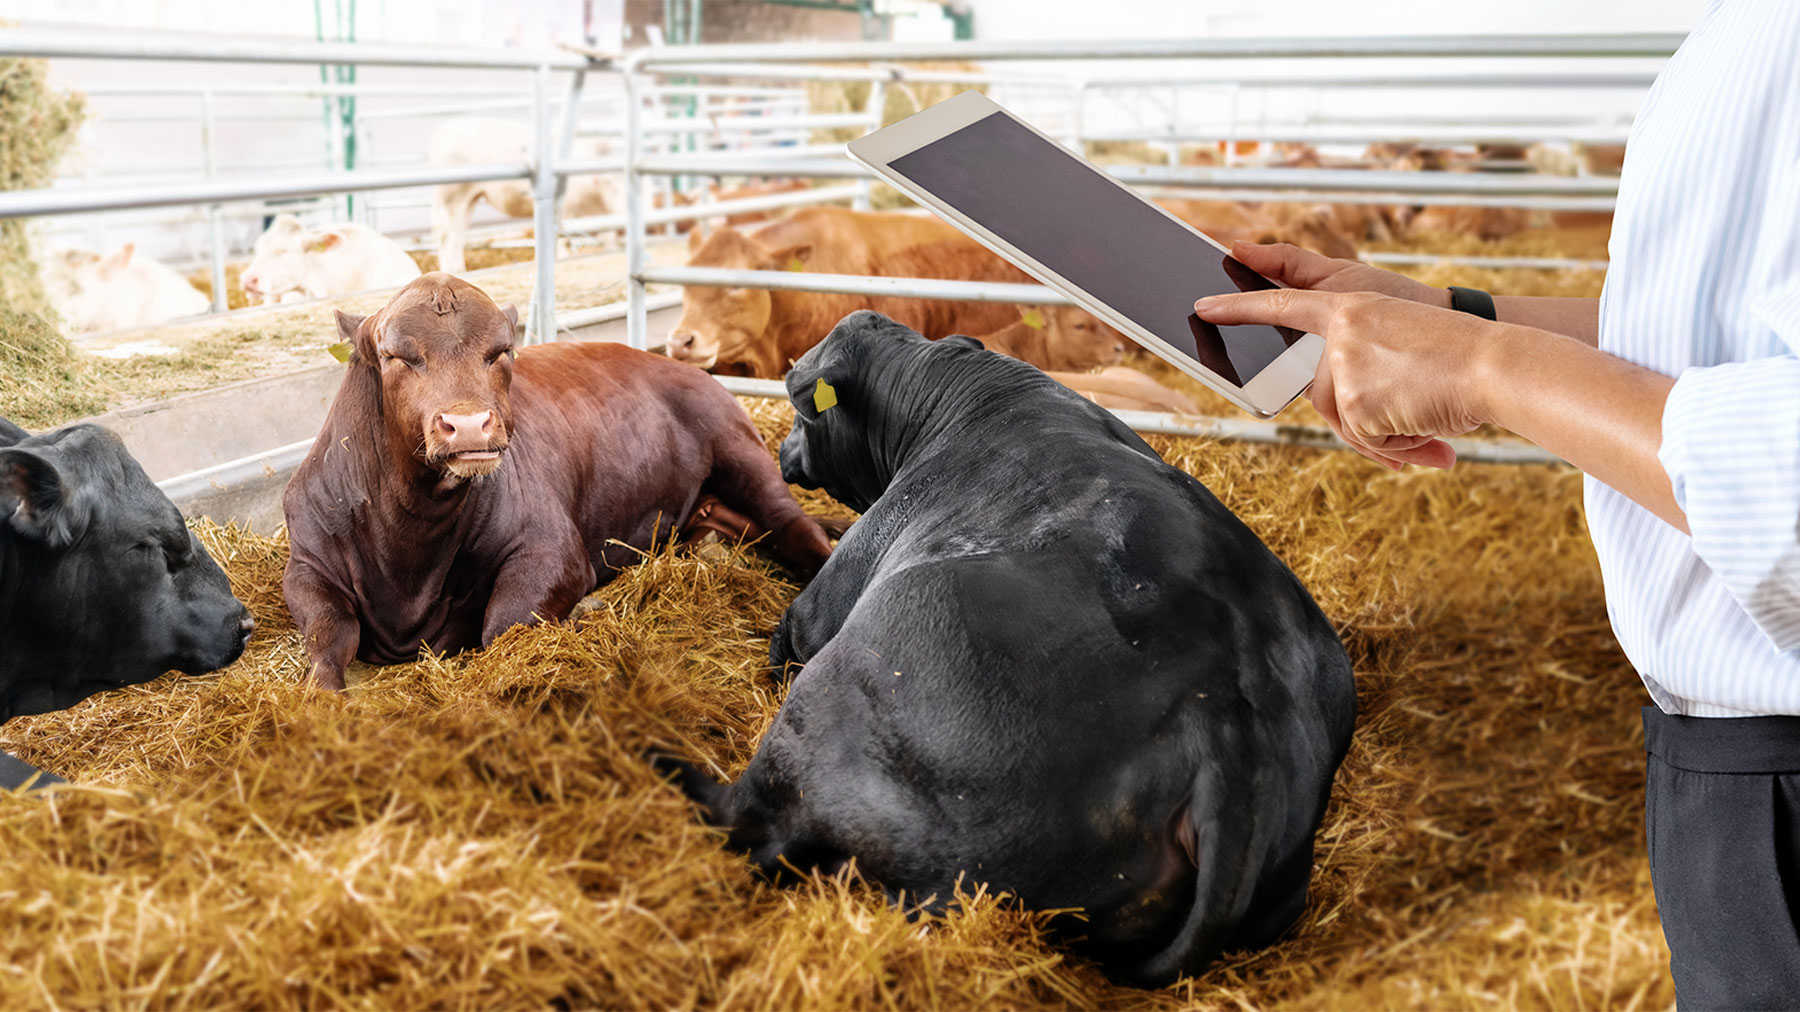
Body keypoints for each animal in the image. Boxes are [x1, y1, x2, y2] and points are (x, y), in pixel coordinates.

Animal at [282, 273, 836, 691]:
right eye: (396, 355)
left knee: (795, 526)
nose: (468, 424)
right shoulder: (305, 564)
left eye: (502, 351)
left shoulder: (553, 550)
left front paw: (584, 608)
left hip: (739, 449)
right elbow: (328, 635)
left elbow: (503, 623)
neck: (410, 543)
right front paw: (322, 694)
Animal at [428, 118, 623, 275]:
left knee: (458, 234)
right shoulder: (564, 209)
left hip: (469, 199)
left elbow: (609, 240)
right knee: (446, 235)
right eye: (608, 182)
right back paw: (454, 271)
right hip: (452, 196)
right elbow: (562, 240)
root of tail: (447, 127)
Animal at [657, 311, 1357, 986]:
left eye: (804, 408)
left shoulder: (823, 603)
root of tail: (1230, 722)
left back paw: (666, 764)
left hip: (845, 695)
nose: (781, 448)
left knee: (754, 818)